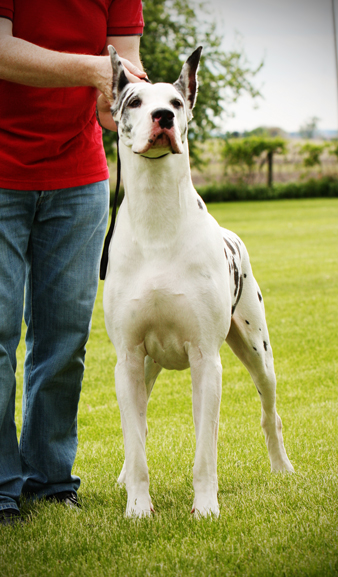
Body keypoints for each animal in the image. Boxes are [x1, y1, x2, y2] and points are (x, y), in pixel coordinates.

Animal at [102, 46, 294, 516]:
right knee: (139, 428)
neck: (157, 220)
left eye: (176, 102)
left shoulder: (207, 360)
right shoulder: (128, 358)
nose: (164, 118)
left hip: (257, 351)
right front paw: (138, 508)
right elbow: (136, 443)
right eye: (135, 101)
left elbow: (206, 449)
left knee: (270, 413)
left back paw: (281, 467)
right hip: (146, 367)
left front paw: (206, 507)